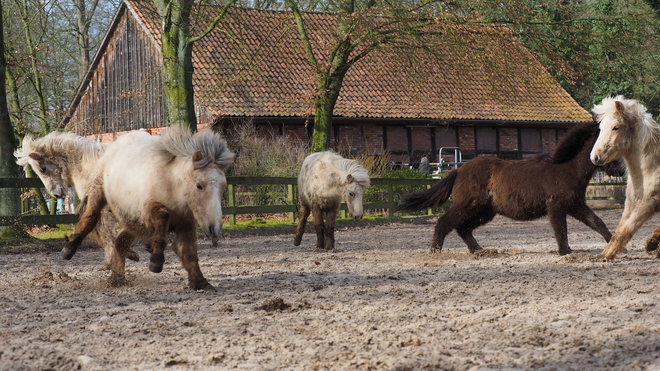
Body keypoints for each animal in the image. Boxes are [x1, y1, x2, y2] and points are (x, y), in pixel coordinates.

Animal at [60, 128, 235, 290]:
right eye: (199, 185)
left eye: (223, 186)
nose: (214, 228)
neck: (172, 186)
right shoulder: (147, 211)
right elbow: (163, 215)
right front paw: (156, 259)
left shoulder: (186, 222)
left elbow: (187, 251)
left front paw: (200, 282)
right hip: (99, 192)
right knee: (90, 218)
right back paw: (69, 249)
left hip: (132, 219)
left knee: (120, 240)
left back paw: (117, 278)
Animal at [398, 123, 624, 258]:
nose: (621, 170)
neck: (566, 168)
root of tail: (459, 170)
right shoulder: (556, 207)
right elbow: (561, 229)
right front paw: (565, 252)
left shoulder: (576, 205)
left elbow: (598, 223)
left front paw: (615, 247)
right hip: (468, 206)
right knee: (444, 222)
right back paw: (436, 252)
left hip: (485, 211)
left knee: (464, 229)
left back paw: (480, 251)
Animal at [588, 95, 660, 262]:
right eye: (600, 128)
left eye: (616, 127)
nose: (595, 157)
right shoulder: (631, 202)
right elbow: (619, 230)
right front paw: (603, 254)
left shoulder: (648, 203)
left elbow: (626, 229)